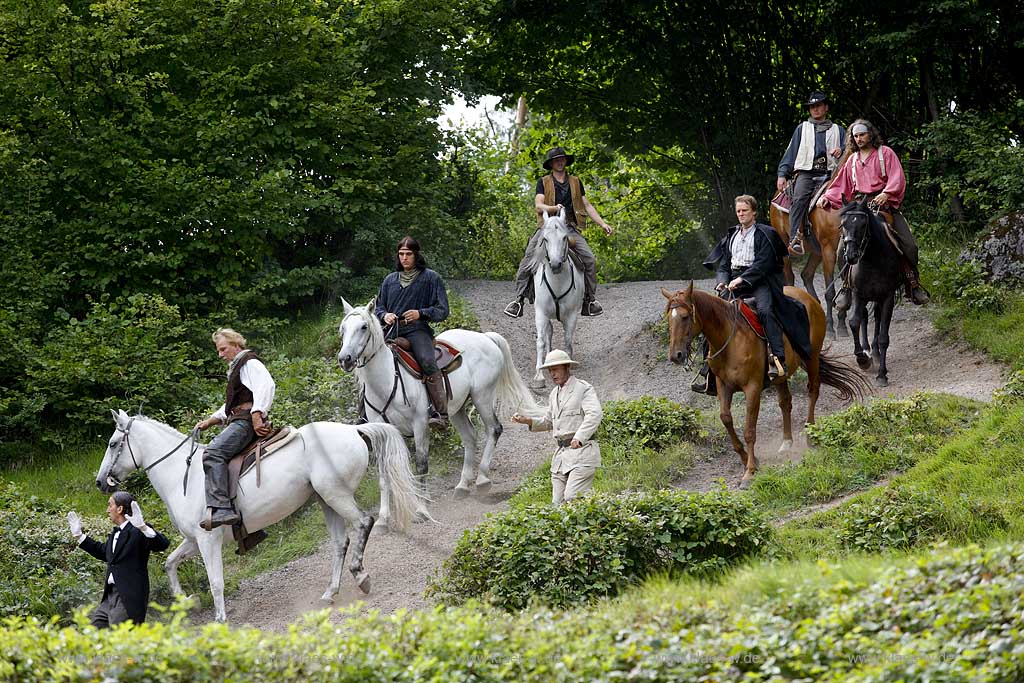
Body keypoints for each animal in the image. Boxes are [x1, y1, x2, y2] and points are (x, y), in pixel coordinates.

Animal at [95, 409, 423, 622]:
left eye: (113, 444)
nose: (100, 482)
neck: (181, 475)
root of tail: (352, 429)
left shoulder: (208, 539)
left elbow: (215, 581)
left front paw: (220, 619)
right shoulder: (193, 540)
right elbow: (169, 563)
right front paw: (186, 601)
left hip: (336, 496)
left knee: (363, 523)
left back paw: (361, 574)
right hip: (326, 501)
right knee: (340, 542)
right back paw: (331, 592)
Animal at [337, 296, 544, 497]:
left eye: (363, 327)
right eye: (343, 328)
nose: (344, 359)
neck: (387, 380)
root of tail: (485, 337)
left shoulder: (420, 425)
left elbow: (421, 465)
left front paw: (423, 501)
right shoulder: (381, 430)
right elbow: (385, 472)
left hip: (482, 397)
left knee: (494, 429)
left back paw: (482, 479)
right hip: (457, 408)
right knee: (470, 437)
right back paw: (462, 485)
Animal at [528, 205, 585, 387]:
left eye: (565, 237)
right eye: (545, 239)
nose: (555, 265)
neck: (557, 283)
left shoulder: (572, 314)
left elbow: (568, 340)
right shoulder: (540, 313)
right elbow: (540, 341)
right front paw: (539, 376)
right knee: (547, 334)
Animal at [659, 282, 868, 485]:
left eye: (685, 317)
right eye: (669, 318)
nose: (676, 355)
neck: (730, 339)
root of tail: (807, 297)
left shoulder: (752, 387)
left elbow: (750, 430)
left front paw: (750, 471)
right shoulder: (722, 385)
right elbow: (726, 418)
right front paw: (746, 459)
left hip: (812, 358)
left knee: (813, 391)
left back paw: (810, 435)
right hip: (781, 376)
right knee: (785, 402)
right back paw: (786, 442)